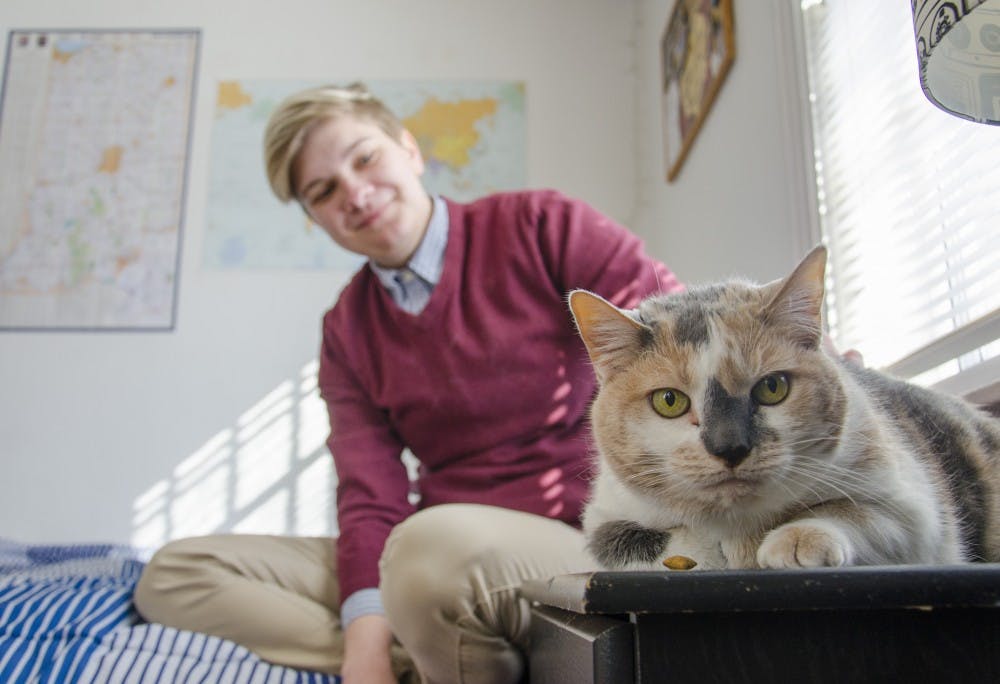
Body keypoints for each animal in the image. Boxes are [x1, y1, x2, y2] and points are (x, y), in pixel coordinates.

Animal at [572, 247, 1000, 572]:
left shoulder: (914, 505)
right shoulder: (605, 512)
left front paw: (796, 539)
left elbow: (863, 512)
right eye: (669, 400)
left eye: (772, 387)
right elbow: (632, 540)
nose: (730, 446)